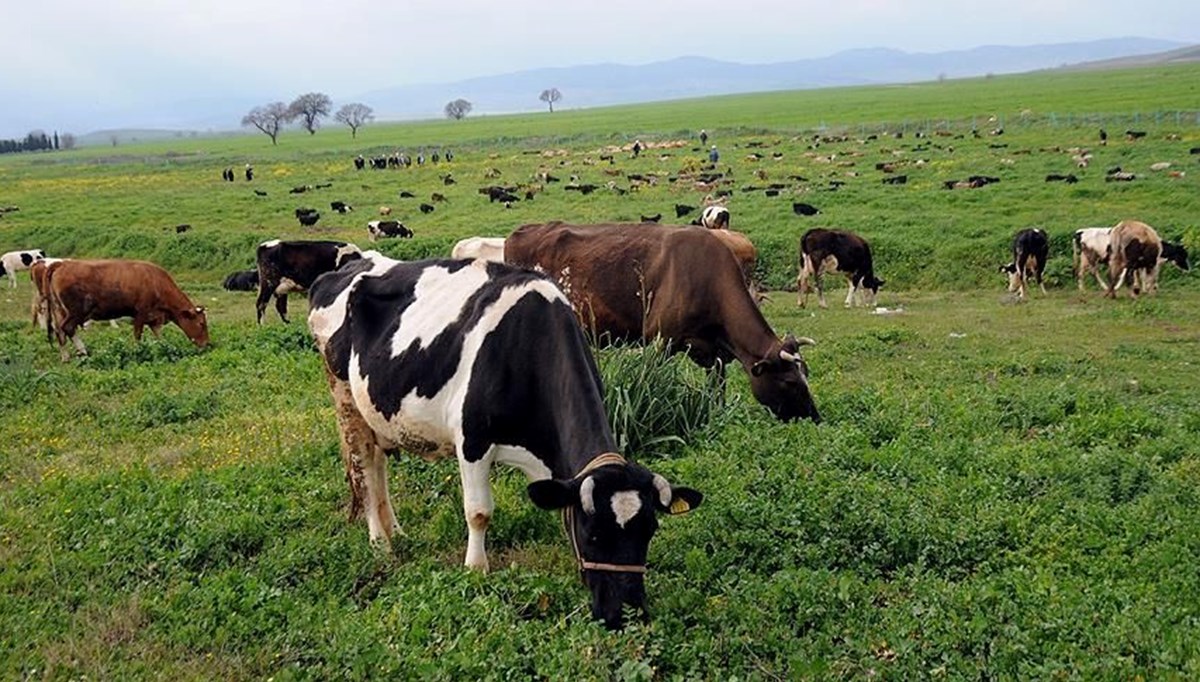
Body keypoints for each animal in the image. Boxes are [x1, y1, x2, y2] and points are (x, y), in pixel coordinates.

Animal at [46, 256, 210, 362]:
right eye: (201, 324)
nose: (207, 344)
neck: (156, 282)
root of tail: (62, 265)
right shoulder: (140, 313)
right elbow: (138, 335)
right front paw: (138, 351)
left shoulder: (154, 317)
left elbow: (159, 335)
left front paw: (164, 347)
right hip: (76, 311)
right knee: (68, 328)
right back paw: (83, 352)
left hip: (60, 311)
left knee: (59, 331)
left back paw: (66, 357)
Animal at [307, 254, 700, 629]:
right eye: (592, 534)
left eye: (650, 531)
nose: (626, 615)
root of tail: (351, 266)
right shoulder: (472, 441)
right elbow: (479, 512)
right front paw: (475, 569)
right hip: (344, 397)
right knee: (363, 470)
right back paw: (380, 545)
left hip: (376, 411)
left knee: (378, 466)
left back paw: (397, 533)